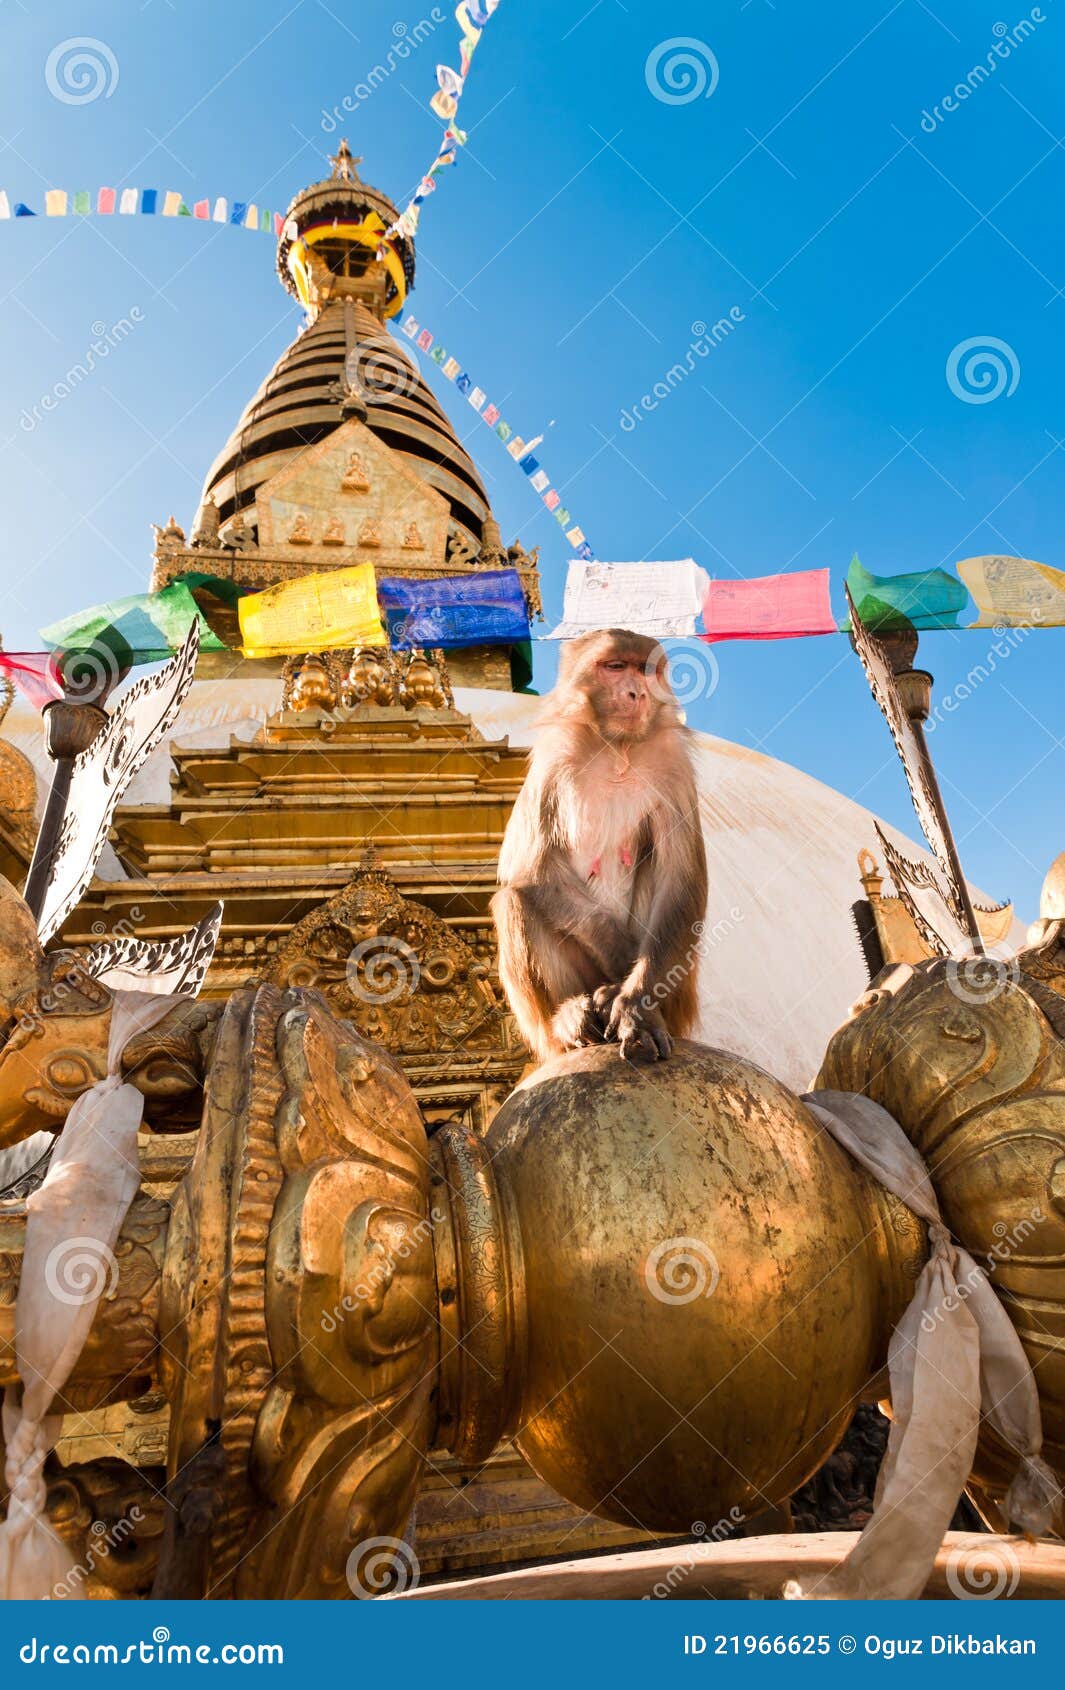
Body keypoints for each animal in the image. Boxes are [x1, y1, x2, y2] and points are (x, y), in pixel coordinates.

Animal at [493, 628, 710, 1061]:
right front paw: (621, 956)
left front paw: (634, 1006)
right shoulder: (554, 753)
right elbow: (526, 866)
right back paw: (568, 1020)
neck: (617, 749)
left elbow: (680, 882)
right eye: (615, 666)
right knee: (513, 899)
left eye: (647, 670)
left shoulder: (673, 762)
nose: (637, 693)